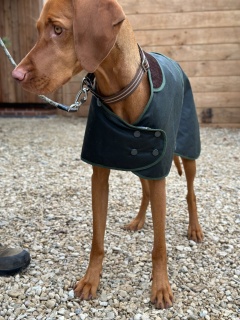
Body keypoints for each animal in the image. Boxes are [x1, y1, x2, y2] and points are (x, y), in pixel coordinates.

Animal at [11, 0, 202, 310]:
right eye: (38, 29)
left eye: (58, 29)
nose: (16, 76)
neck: (120, 87)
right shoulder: (100, 174)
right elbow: (97, 239)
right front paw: (91, 280)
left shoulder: (158, 171)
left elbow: (159, 246)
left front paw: (161, 287)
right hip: (141, 162)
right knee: (145, 191)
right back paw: (138, 221)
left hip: (186, 152)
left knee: (190, 191)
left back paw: (194, 228)